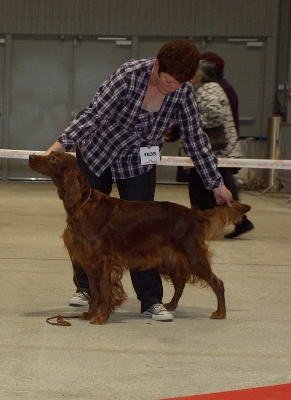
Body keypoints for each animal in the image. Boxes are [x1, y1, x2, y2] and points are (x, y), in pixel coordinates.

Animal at [29, 152, 252, 324]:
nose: (31, 156)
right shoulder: (87, 260)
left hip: (193, 255)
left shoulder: (104, 260)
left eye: (54, 158)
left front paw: (101, 317)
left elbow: (103, 291)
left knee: (217, 282)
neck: (83, 205)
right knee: (180, 280)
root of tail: (193, 213)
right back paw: (170, 305)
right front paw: (90, 313)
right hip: (169, 258)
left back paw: (220, 312)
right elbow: (93, 292)